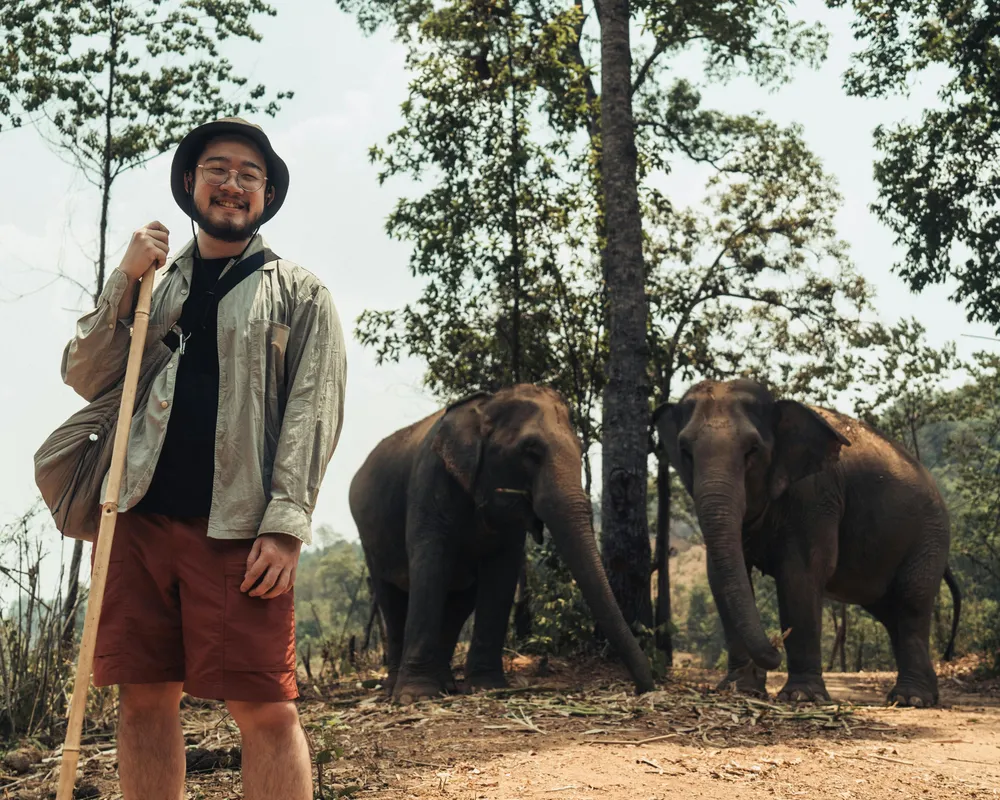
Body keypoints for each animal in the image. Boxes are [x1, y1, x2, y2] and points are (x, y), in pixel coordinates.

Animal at [350, 384, 655, 703]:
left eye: (581, 450)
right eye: (531, 451)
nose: (642, 688)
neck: (486, 406)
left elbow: (501, 573)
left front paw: (487, 687)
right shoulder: (430, 482)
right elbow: (431, 567)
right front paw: (417, 696)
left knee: (461, 599)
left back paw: (446, 684)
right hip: (370, 537)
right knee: (390, 597)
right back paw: (395, 689)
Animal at [652, 379, 960, 707]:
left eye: (752, 450)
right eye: (685, 451)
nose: (775, 645)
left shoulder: (815, 495)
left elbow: (800, 574)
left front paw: (801, 696)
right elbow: (719, 578)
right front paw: (740, 689)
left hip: (930, 536)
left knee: (911, 602)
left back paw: (909, 699)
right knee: (890, 614)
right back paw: (923, 695)